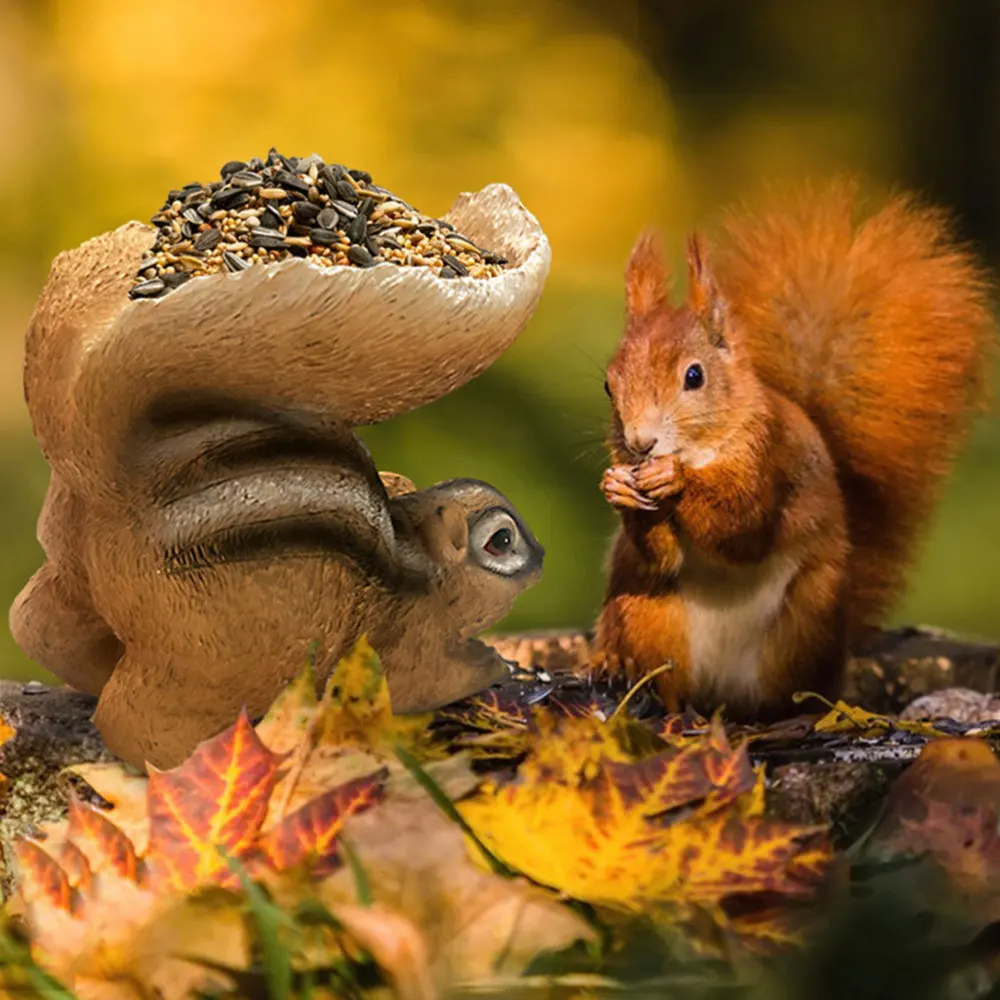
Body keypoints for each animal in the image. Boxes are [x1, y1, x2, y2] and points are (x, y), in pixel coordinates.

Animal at [10, 202, 548, 770]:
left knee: (40, 624)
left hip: (74, 569)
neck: (417, 559)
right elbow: (431, 679)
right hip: (215, 650)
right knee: (137, 719)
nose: (541, 558)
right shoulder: (403, 647)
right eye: (502, 542)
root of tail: (115, 489)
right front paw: (492, 664)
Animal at [593, 178, 995, 720]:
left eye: (694, 376)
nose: (640, 443)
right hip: (646, 613)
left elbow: (741, 527)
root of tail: (721, 693)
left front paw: (673, 481)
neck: (702, 449)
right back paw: (635, 682)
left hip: (804, 619)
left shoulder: (769, 457)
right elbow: (664, 557)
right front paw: (620, 489)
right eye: (609, 386)